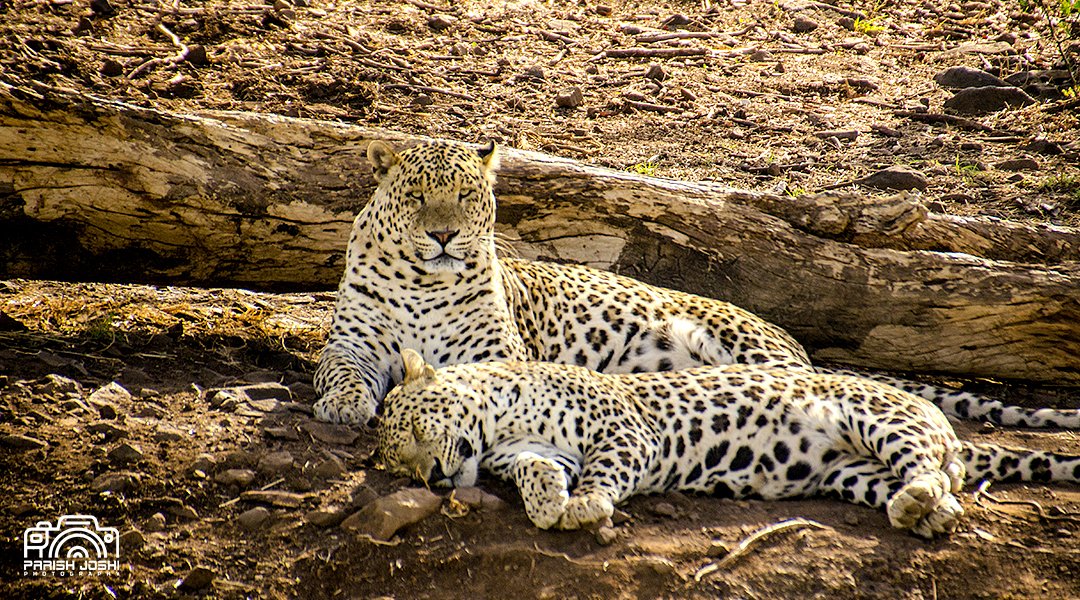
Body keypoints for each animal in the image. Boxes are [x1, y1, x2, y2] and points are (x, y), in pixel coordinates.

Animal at [315, 139, 1080, 431]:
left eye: (469, 198)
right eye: (419, 197)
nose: (445, 236)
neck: (425, 281)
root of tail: (799, 349)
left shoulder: (497, 351)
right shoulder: (352, 344)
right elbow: (342, 374)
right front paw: (348, 407)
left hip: (747, 351)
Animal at [378, 349, 1080, 537]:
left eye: (411, 431)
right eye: (402, 470)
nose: (432, 480)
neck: (498, 423)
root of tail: (935, 410)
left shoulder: (623, 432)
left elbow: (604, 472)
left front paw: (588, 505)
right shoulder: (536, 453)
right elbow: (535, 472)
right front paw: (550, 504)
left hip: (879, 419)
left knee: (935, 468)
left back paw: (919, 503)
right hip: (852, 473)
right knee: (943, 488)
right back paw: (923, 515)